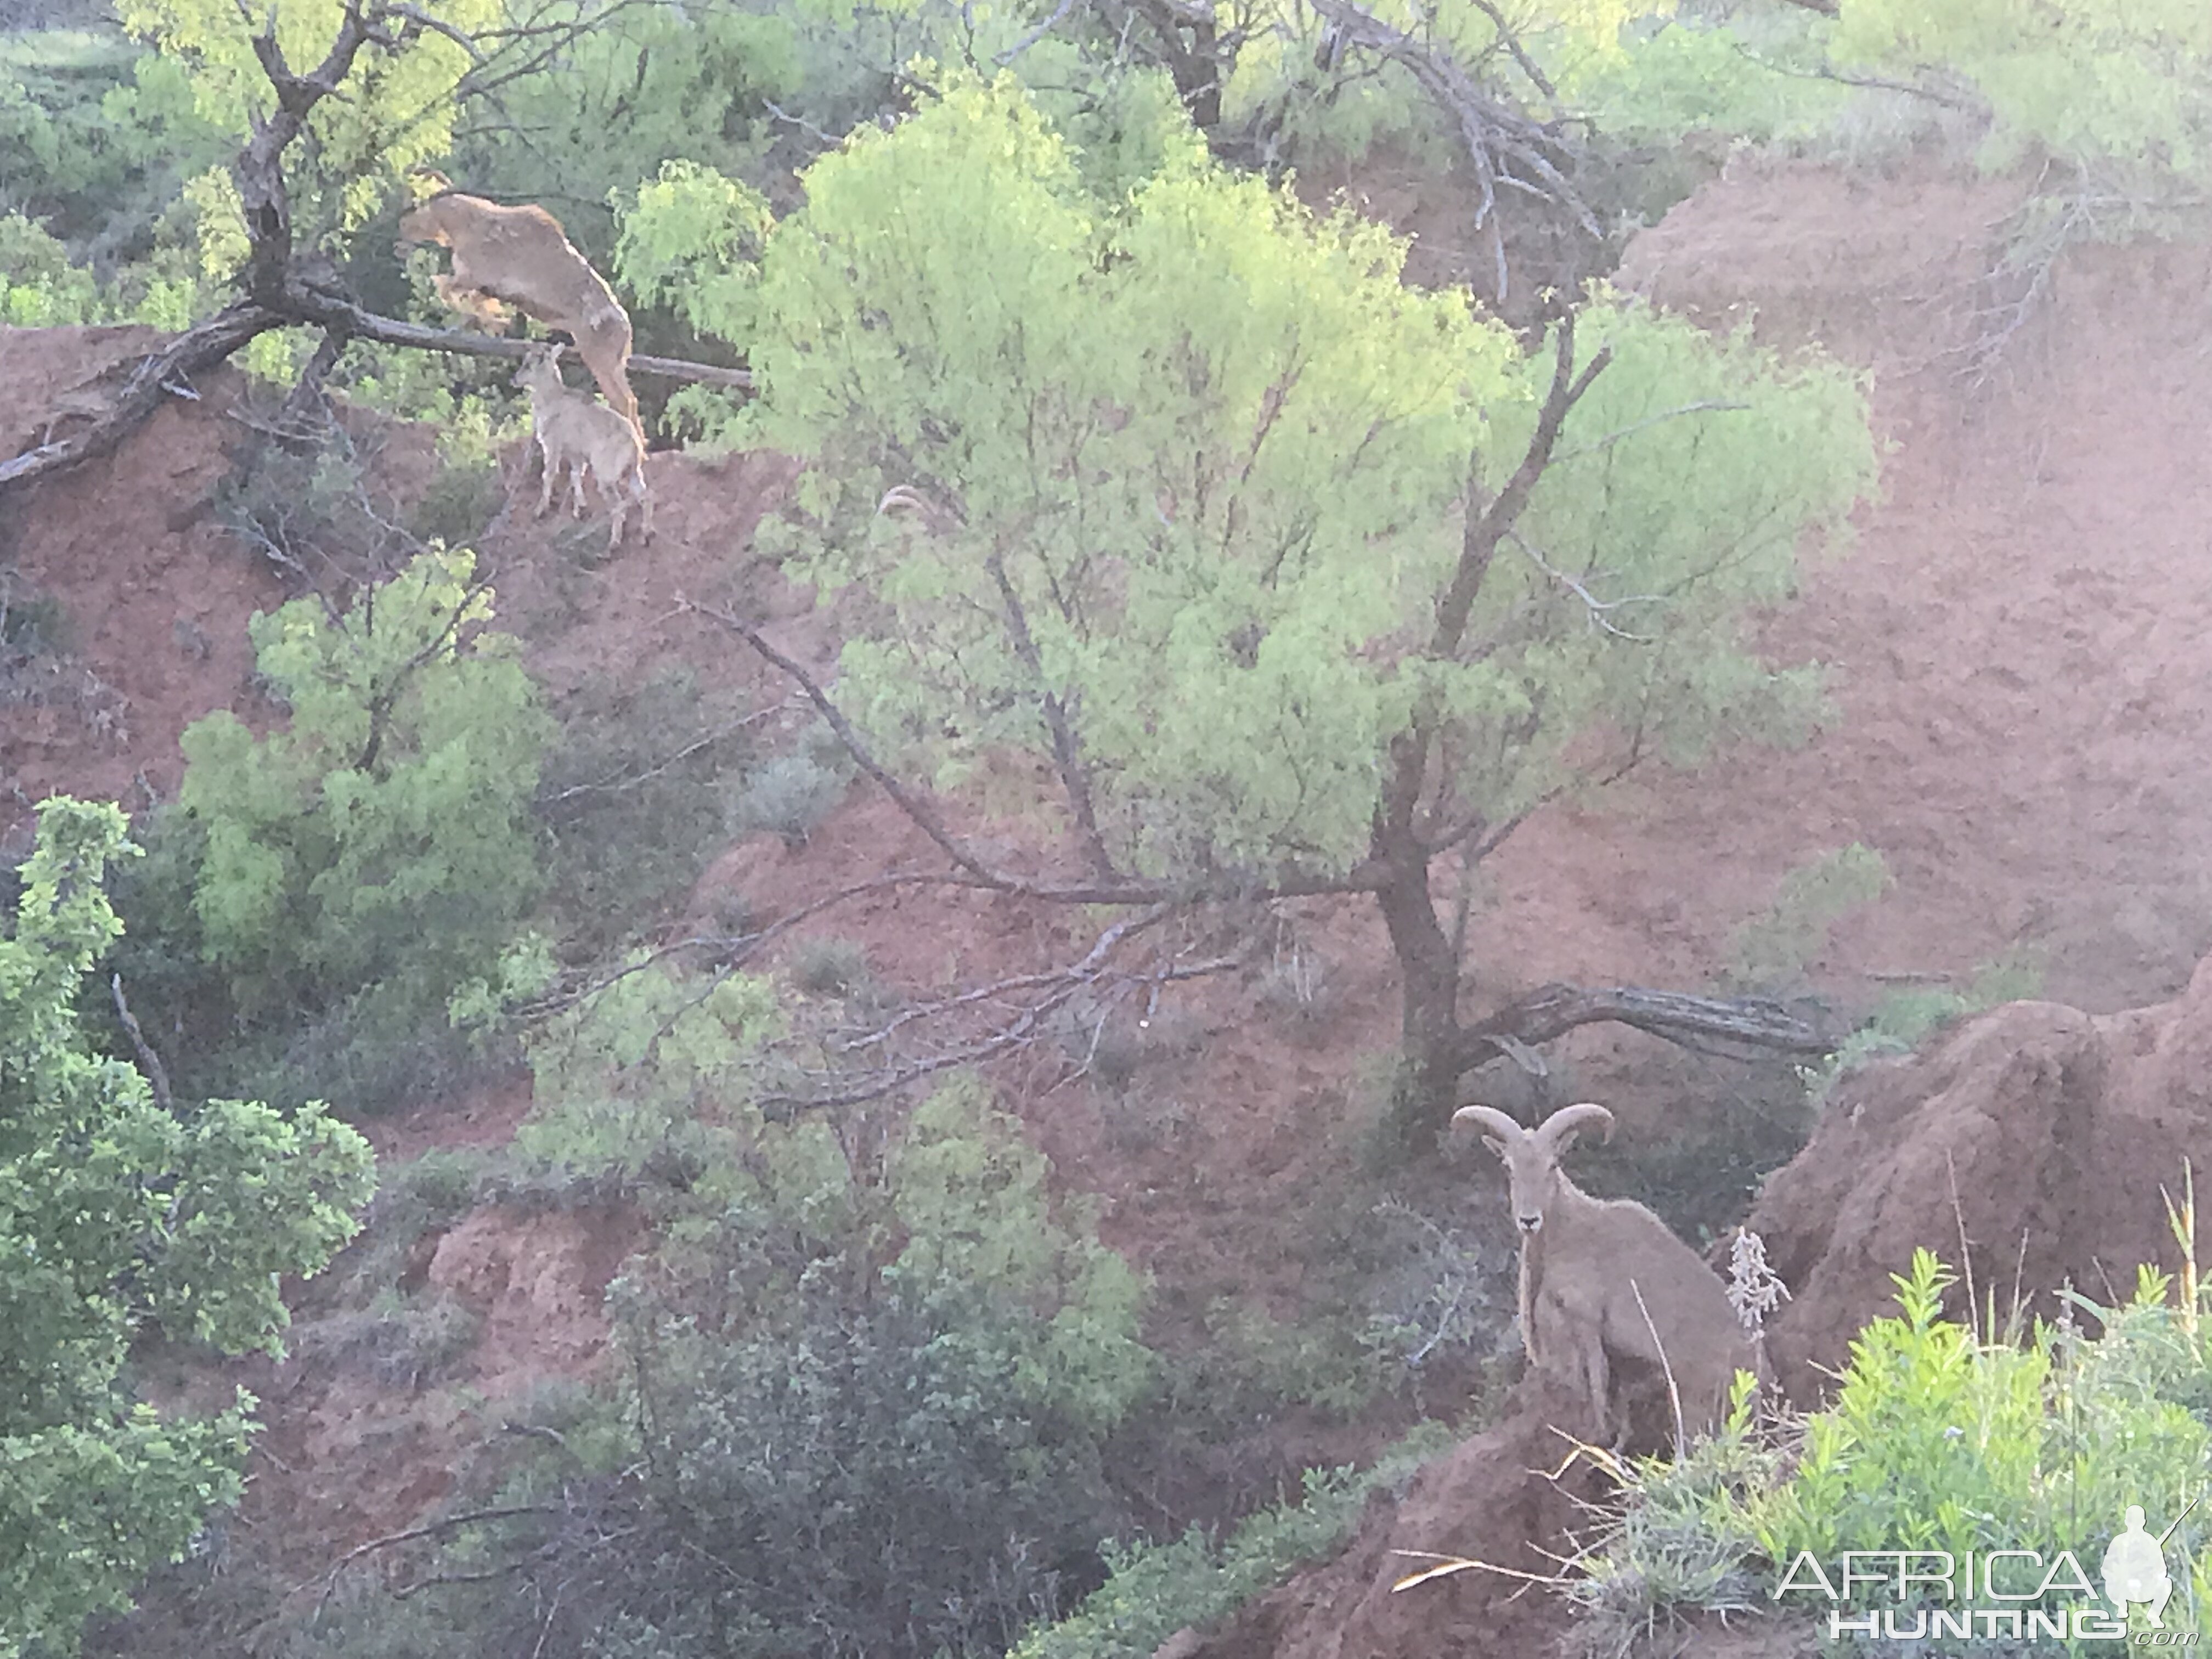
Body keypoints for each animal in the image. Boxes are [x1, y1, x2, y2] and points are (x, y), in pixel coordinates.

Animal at [513, 347, 650, 555]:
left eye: (529, 364)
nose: (514, 379)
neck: (552, 399)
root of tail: (634, 443)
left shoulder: (553, 445)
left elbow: (549, 475)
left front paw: (540, 510)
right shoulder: (576, 453)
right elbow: (576, 475)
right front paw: (580, 508)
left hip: (606, 475)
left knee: (618, 503)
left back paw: (614, 543)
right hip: (633, 470)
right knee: (644, 495)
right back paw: (646, 533)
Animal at [1451, 1106, 1760, 1451]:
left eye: (1552, 1164)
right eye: (1508, 1166)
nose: (1529, 1220)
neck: (1567, 1233)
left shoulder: (1586, 1320)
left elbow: (1597, 1380)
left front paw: (1599, 1437)